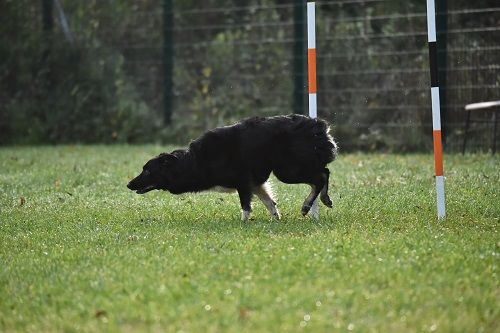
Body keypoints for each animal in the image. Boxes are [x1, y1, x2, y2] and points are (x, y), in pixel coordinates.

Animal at [129, 115, 338, 220]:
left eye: (147, 170)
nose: (128, 185)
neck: (196, 161)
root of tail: (318, 125)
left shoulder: (243, 182)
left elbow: (245, 206)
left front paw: (243, 223)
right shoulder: (255, 183)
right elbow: (270, 202)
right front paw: (275, 219)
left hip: (287, 170)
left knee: (320, 177)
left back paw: (308, 205)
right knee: (324, 173)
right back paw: (323, 200)